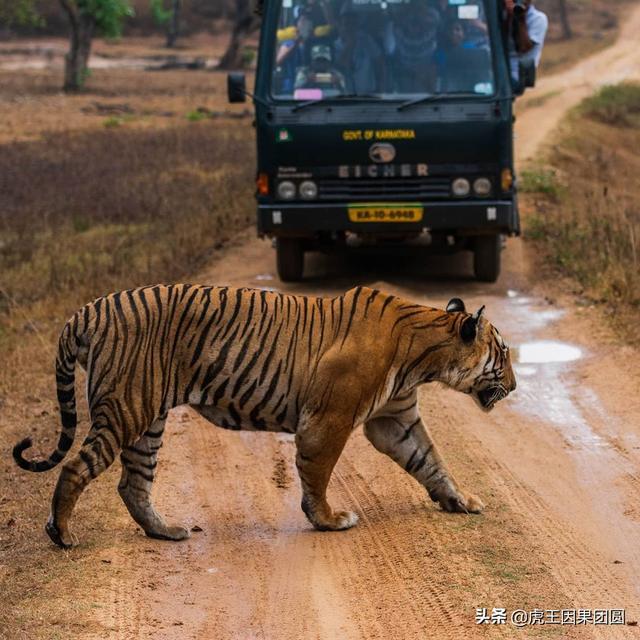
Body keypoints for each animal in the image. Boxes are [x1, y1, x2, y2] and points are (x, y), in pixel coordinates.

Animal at [13, 285, 516, 548]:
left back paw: (166, 532)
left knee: (132, 483)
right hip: (126, 408)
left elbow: (431, 461)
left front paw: (460, 500)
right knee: (76, 467)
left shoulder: (394, 420)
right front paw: (328, 520)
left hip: (147, 419)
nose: (514, 386)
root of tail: (87, 310)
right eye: (505, 353)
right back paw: (62, 534)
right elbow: (318, 473)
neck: (425, 355)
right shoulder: (330, 418)